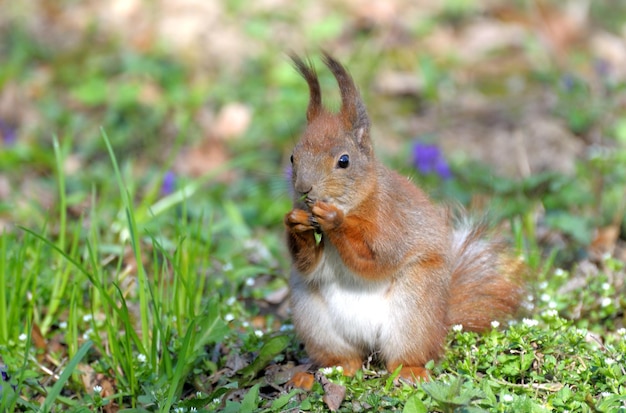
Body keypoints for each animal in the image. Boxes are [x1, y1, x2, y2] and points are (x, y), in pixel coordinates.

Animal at [282, 53, 520, 382]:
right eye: (293, 157)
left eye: (344, 161)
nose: (304, 189)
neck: (359, 203)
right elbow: (308, 264)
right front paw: (295, 221)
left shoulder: (391, 222)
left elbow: (376, 258)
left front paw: (333, 220)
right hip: (314, 319)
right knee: (346, 357)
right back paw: (328, 371)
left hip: (414, 312)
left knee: (405, 356)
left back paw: (409, 372)